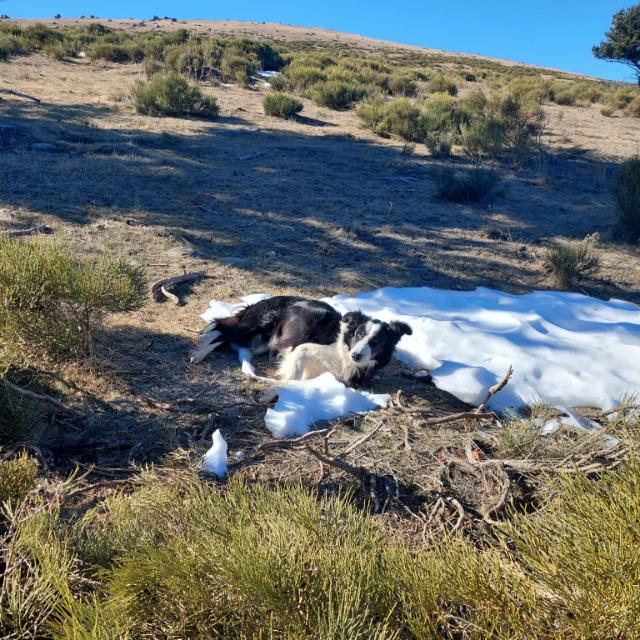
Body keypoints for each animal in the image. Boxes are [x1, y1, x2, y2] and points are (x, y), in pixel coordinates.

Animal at [191, 296, 410, 384]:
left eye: (376, 341)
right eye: (359, 334)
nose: (356, 354)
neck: (342, 352)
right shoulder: (301, 348)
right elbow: (293, 374)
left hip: (260, 341)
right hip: (259, 324)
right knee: (220, 330)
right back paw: (199, 353)